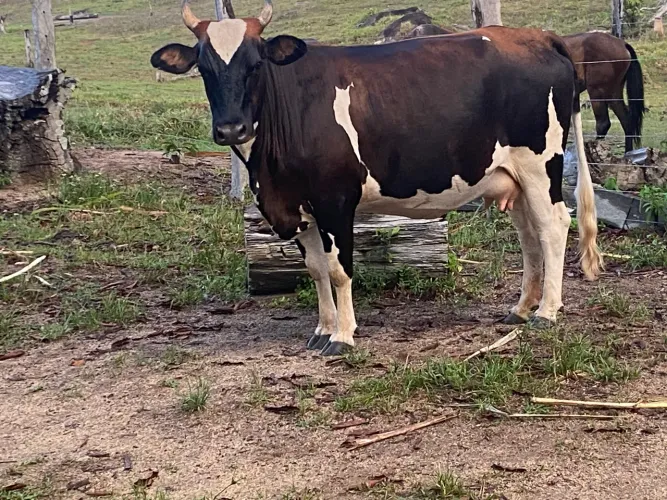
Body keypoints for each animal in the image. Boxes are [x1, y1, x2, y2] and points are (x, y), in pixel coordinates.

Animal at [151, 0, 603, 356]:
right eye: (204, 67)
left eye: (255, 63)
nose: (231, 129)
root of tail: (540, 36)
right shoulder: (299, 206)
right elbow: (315, 269)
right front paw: (322, 329)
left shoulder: (335, 199)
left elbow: (339, 269)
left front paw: (343, 336)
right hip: (512, 176)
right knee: (529, 236)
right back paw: (522, 307)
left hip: (540, 164)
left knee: (552, 226)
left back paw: (547, 311)